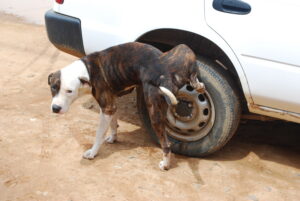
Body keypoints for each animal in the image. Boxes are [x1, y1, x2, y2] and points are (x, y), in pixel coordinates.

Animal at [48, 42, 205, 170]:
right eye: (53, 88)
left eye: (69, 91)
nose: (55, 109)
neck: (86, 71)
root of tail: (168, 71)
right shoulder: (111, 106)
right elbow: (113, 124)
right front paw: (113, 138)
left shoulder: (106, 108)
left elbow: (99, 134)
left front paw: (92, 152)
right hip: (183, 48)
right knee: (194, 75)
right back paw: (199, 85)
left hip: (154, 111)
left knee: (166, 144)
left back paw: (165, 164)